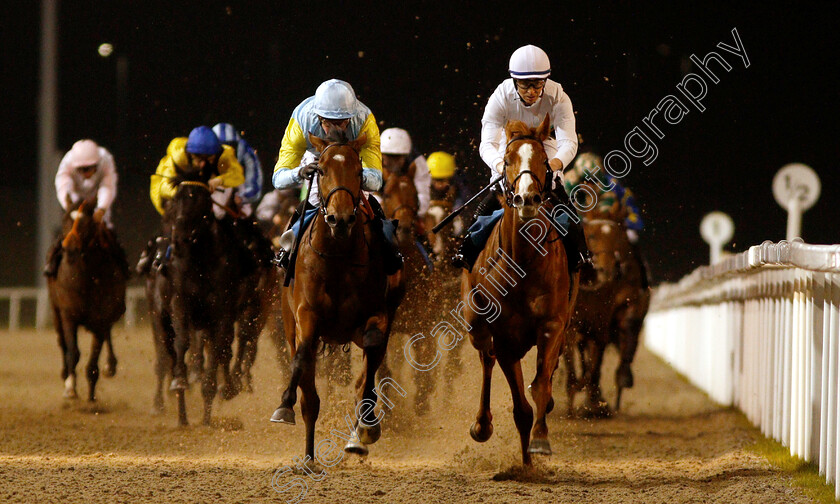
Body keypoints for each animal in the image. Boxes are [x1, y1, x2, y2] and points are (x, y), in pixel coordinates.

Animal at [47, 197, 126, 402]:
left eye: (87, 223)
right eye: (66, 220)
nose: (69, 248)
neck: (86, 279)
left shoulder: (101, 318)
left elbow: (93, 359)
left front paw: (91, 398)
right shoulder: (68, 314)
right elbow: (73, 352)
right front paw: (70, 388)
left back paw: (110, 366)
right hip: (55, 311)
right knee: (63, 344)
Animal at [272, 133, 398, 460]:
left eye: (358, 172)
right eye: (322, 171)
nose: (339, 219)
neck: (339, 256)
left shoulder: (377, 315)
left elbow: (369, 367)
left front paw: (366, 426)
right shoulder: (306, 316)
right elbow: (302, 358)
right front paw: (284, 405)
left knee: (364, 377)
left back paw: (359, 434)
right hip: (288, 322)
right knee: (310, 397)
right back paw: (308, 457)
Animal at [460, 114, 576, 464]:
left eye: (543, 161)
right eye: (508, 160)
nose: (527, 198)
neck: (523, 263)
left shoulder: (552, 325)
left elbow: (540, 386)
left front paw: (538, 442)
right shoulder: (504, 338)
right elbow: (521, 409)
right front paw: (526, 462)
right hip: (475, 323)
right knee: (485, 358)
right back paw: (481, 425)